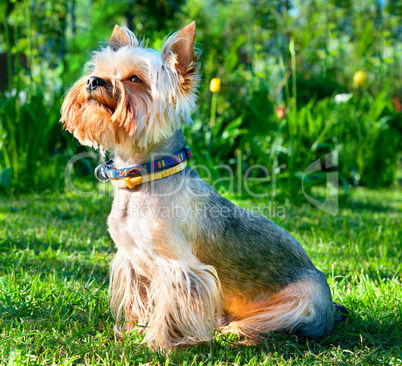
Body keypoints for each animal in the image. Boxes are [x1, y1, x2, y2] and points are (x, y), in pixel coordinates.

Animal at [60, 20, 346, 348]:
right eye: (101, 69)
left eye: (134, 79)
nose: (93, 81)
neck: (143, 176)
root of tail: (332, 309)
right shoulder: (131, 263)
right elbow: (138, 301)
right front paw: (136, 331)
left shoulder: (179, 269)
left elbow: (169, 309)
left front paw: (158, 345)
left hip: (297, 307)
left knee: (265, 326)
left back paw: (234, 332)